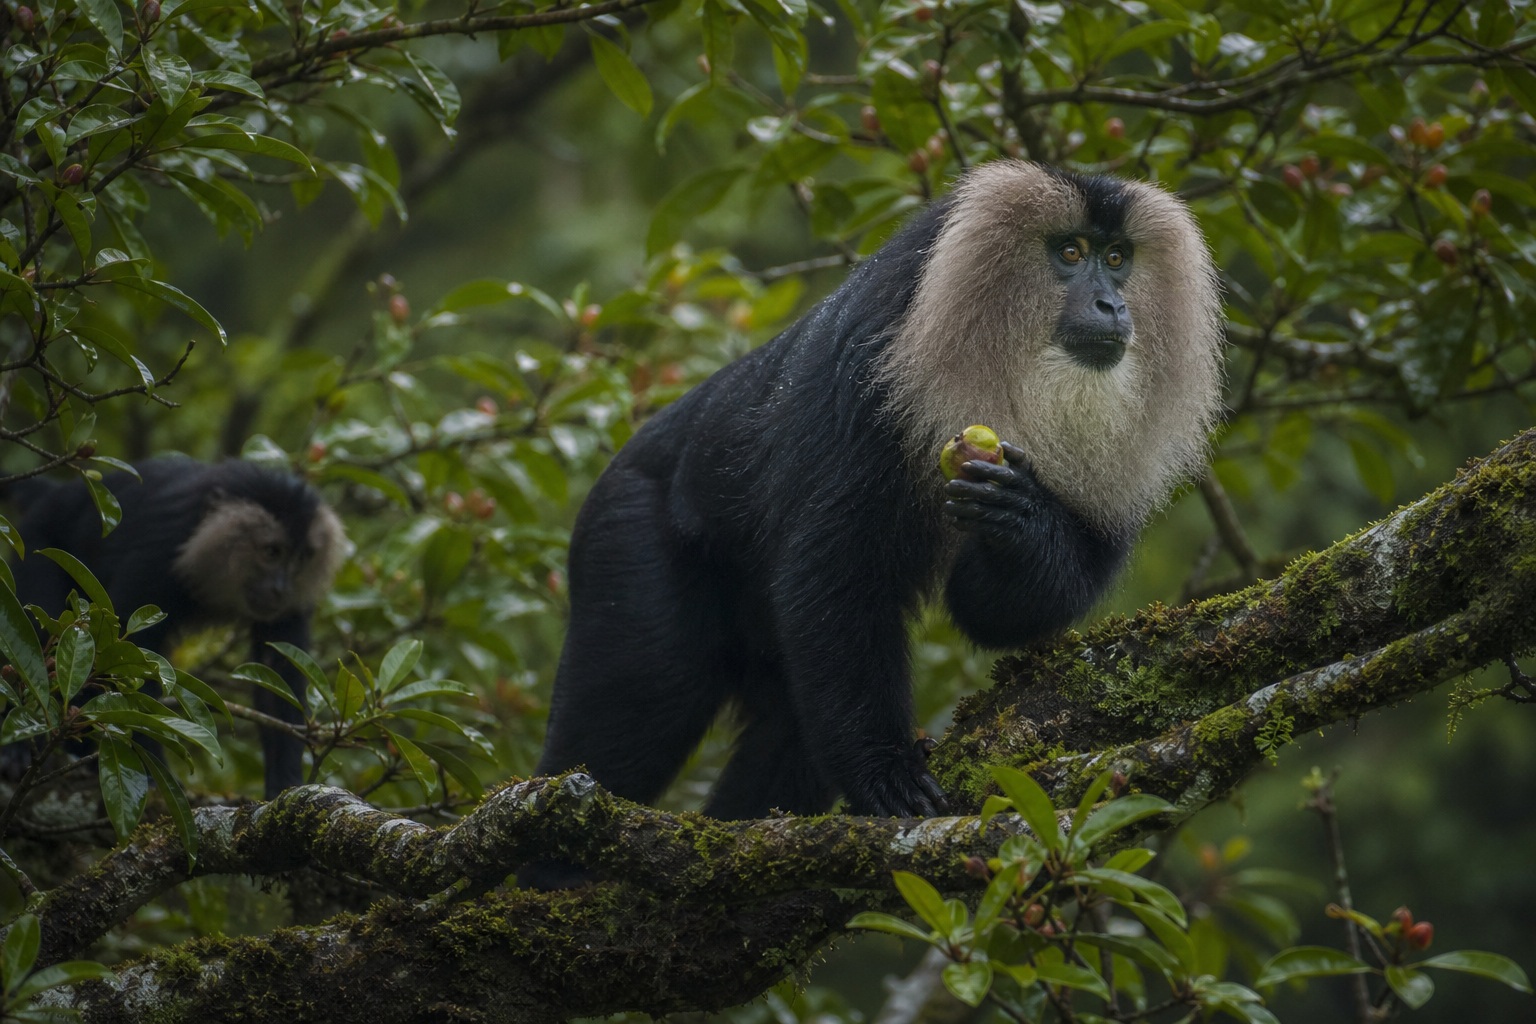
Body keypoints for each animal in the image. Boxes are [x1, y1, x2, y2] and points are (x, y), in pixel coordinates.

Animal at [7, 458, 347, 797]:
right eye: (272, 552)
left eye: (301, 559)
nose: (282, 589)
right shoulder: (159, 553)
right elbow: (123, 658)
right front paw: (147, 773)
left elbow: (278, 679)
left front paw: (286, 785)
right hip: (38, 544)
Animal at [535, 160, 1224, 825]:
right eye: (1072, 253)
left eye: (1118, 258)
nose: (1111, 305)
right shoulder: (868, 366)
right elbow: (836, 571)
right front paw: (884, 773)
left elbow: (997, 612)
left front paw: (1018, 517)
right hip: (625, 528)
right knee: (644, 698)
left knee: (786, 732)